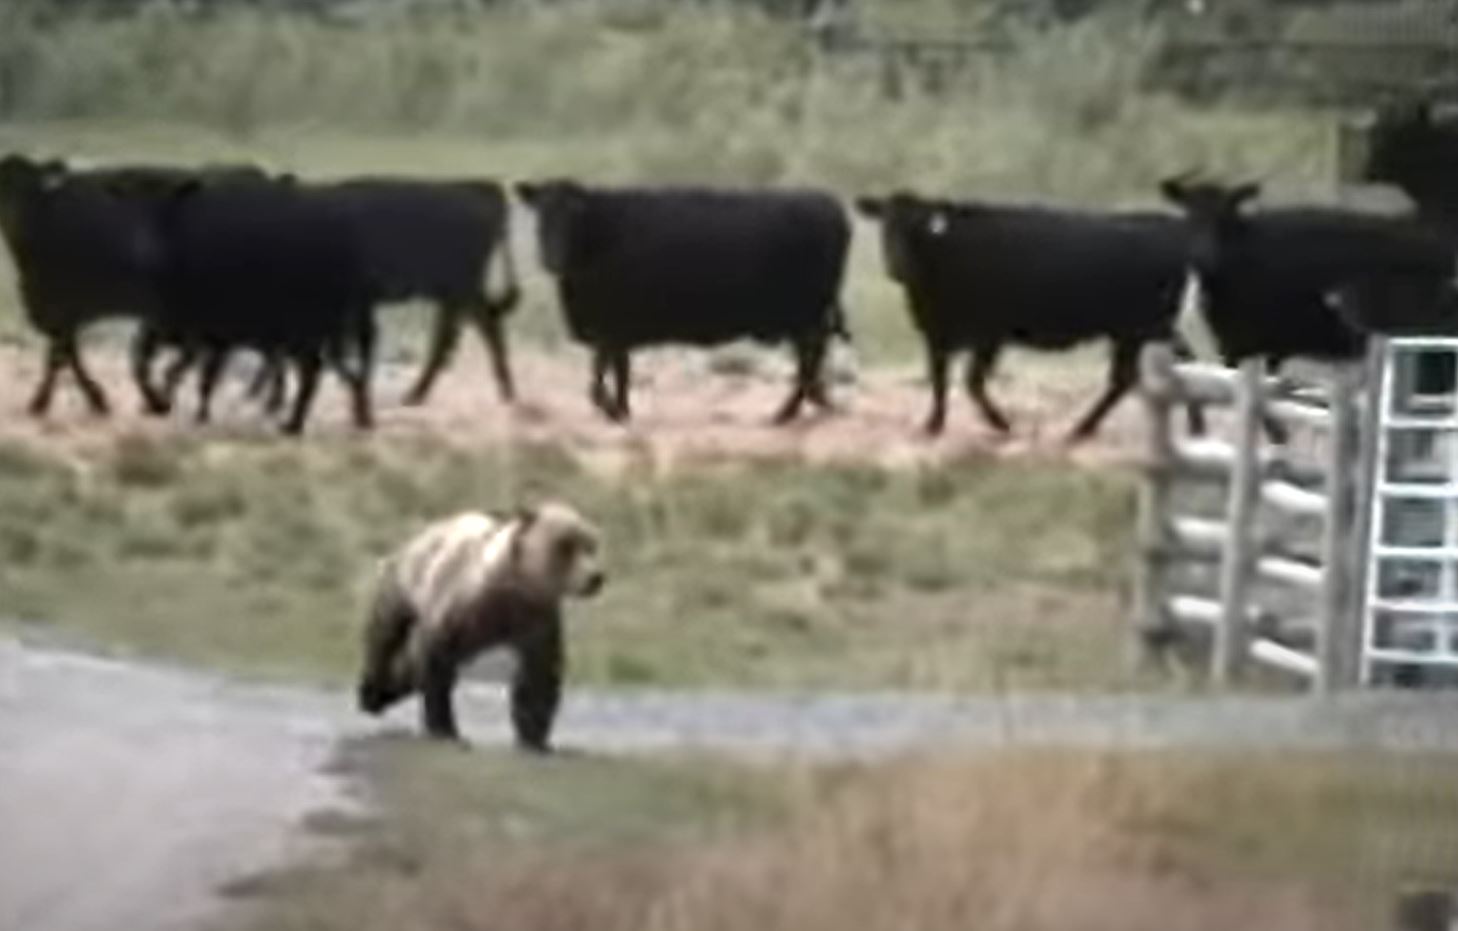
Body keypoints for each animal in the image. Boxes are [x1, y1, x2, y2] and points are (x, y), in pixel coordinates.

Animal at [356, 500, 605, 750]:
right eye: (565, 545)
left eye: (591, 545)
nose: (595, 577)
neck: (512, 586)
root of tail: (422, 535)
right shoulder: (461, 605)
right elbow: (437, 663)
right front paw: (445, 730)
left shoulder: (535, 619)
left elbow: (539, 674)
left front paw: (535, 739)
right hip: (405, 581)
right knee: (385, 635)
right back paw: (370, 694)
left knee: (410, 666)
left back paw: (383, 695)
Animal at [515, 180, 851, 424]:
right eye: (540, 215)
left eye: (574, 216)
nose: (551, 259)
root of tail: (827, 203)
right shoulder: (615, 330)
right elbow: (619, 371)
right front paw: (623, 410)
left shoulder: (609, 326)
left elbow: (598, 381)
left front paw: (612, 410)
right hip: (805, 317)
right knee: (811, 358)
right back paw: (814, 402)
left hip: (805, 314)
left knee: (810, 357)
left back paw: (789, 411)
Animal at [856, 191, 1204, 440]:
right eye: (885, 226)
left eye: (920, 229)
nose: (895, 266)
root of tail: (1172, 227)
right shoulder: (937, 335)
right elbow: (940, 382)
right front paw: (934, 425)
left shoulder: (989, 334)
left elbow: (972, 383)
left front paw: (1001, 423)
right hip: (1140, 329)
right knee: (1154, 369)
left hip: (1141, 326)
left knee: (1146, 371)